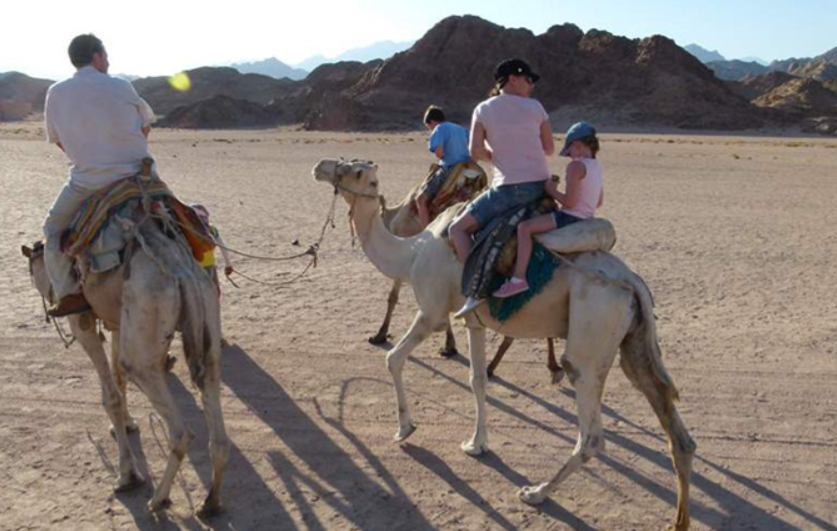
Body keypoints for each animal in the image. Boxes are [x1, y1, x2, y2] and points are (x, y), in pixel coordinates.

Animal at [21, 201, 229, 516]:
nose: (50, 300)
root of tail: (182, 273)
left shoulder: (81, 321)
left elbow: (111, 396)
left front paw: (128, 476)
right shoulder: (119, 321)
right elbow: (118, 377)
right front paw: (129, 424)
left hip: (145, 334)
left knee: (179, 429)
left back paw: (158, 499)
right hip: (207, 316)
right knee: (216, 422)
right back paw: (212, 501)